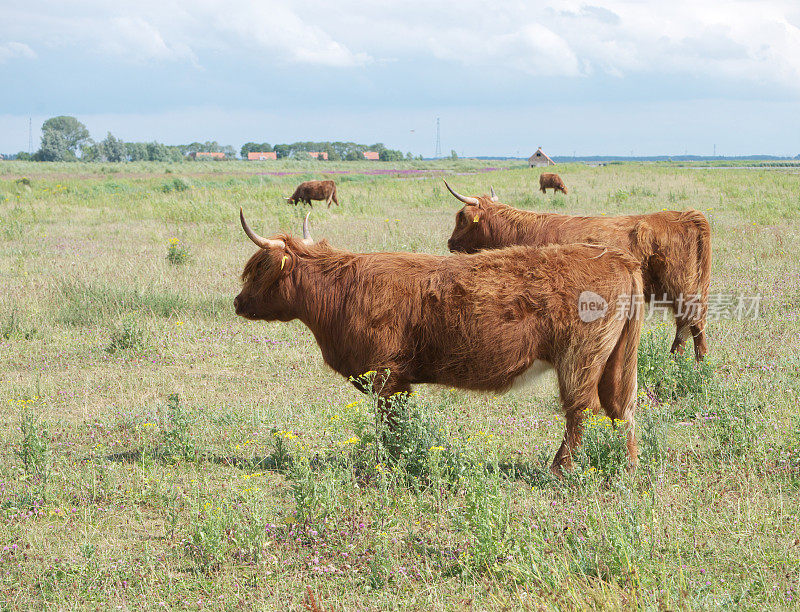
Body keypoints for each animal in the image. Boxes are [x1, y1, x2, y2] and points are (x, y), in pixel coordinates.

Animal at [233, 210, 644, 474]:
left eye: (257, 270)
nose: (237, 302)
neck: (341, 290)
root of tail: (616, 257)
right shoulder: (395, 379)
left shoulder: (384, 375)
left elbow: (391, 424)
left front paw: (388, 464)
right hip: (613, 361)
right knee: (620, 407)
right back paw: (627, 467)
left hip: (580, 358)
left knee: (582, 410)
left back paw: (561, 469)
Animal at [444, 182, 712, 364]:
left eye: (461, 217)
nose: (450, 243)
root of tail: (685, 216)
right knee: (685, 326)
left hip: (683, 289)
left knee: (693, 324)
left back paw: (696, 364)